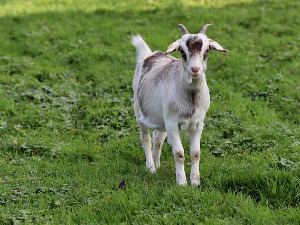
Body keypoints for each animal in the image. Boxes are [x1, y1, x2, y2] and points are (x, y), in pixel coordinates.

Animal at [131, 23, 227, 185]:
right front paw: (182, 182)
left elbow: (195, 153)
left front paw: (195, 182)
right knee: (146, 139)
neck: (190, 99)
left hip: (161, 118)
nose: (195, 69)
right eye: (182, 51)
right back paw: (151, 167)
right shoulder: (172, 123)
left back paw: (157, 163)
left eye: (207, 50)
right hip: (139, 112)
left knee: (158, 138)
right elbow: (179, 153)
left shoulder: (197, 124)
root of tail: (150, 55)